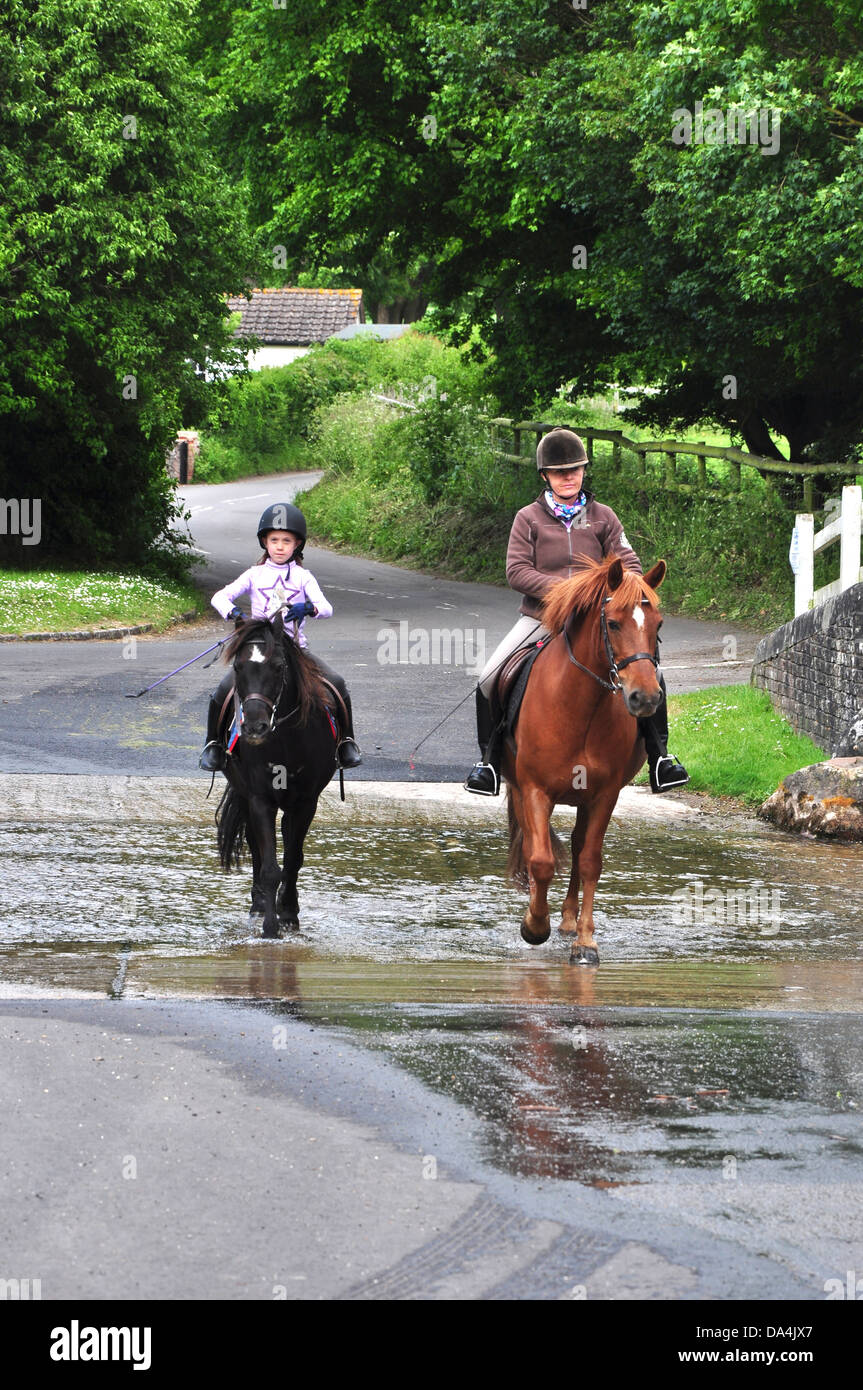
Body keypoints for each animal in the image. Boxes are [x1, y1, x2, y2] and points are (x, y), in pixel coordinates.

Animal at [215, 614, 336, 939]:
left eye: (279, 667)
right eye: (237, 667)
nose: (254, 727)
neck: (286, 737)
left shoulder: (306, 802)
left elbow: (293, 860)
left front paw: (289, 914)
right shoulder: (260, 799)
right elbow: (270, 866)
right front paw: (270, 927)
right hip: (245, 794)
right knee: (256, 847)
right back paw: (258, 905)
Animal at [505, 553, 667, 967]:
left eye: (658, 625)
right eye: (613, 623)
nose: (645, 698)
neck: (581, 707)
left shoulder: (605, 795)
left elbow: (591, 860)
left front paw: (585, 940)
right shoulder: (535, 789)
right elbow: (541, 861)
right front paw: (534, 925)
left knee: (579, 848)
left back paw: (566, 921)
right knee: (534, 848)